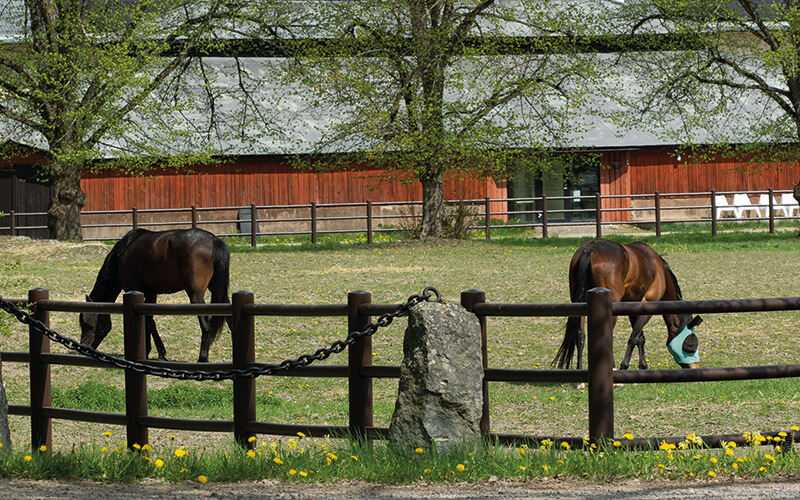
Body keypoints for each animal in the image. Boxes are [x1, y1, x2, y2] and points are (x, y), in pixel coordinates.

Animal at [79, 229, 230, 362]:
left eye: (87, 325)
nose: (83, 348)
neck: (123, 255)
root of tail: (214, 240)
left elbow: (149, 322)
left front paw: (158, 353)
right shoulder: (150, 294)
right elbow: (148, 320)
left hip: (195, 294)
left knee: (206, 324)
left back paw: (202, 358)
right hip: (218, 291)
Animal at [552, 238, 704, 372]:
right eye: (691, 344)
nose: (696, 367)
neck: (659, 270)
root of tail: (589, 250)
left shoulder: (634, 306)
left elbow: (640, 338)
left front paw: (643, 365)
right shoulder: (647, 305)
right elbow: (634, 338)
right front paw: (624, 366)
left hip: (580, 303)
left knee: (580, 335)